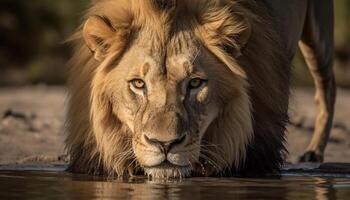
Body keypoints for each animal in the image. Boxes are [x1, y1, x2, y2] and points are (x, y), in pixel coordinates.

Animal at [65, 0, 336, 178]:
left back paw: (314, 152)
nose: (164, 144)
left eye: (195, 83)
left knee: (327, 88)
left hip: (319, 36)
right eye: (138, 84)